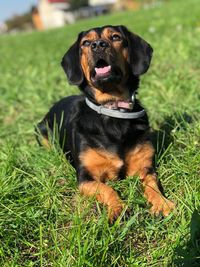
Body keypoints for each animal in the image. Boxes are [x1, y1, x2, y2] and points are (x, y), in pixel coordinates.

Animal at [36, 25, 175, 223]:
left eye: (115, 37)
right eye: (86, 42)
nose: (98, 45)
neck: (113, 109)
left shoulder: (144, 168)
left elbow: (152, 185)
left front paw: (162, 203)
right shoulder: (86, 178)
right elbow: (107, 189)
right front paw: (117, 209)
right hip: (41, 132)